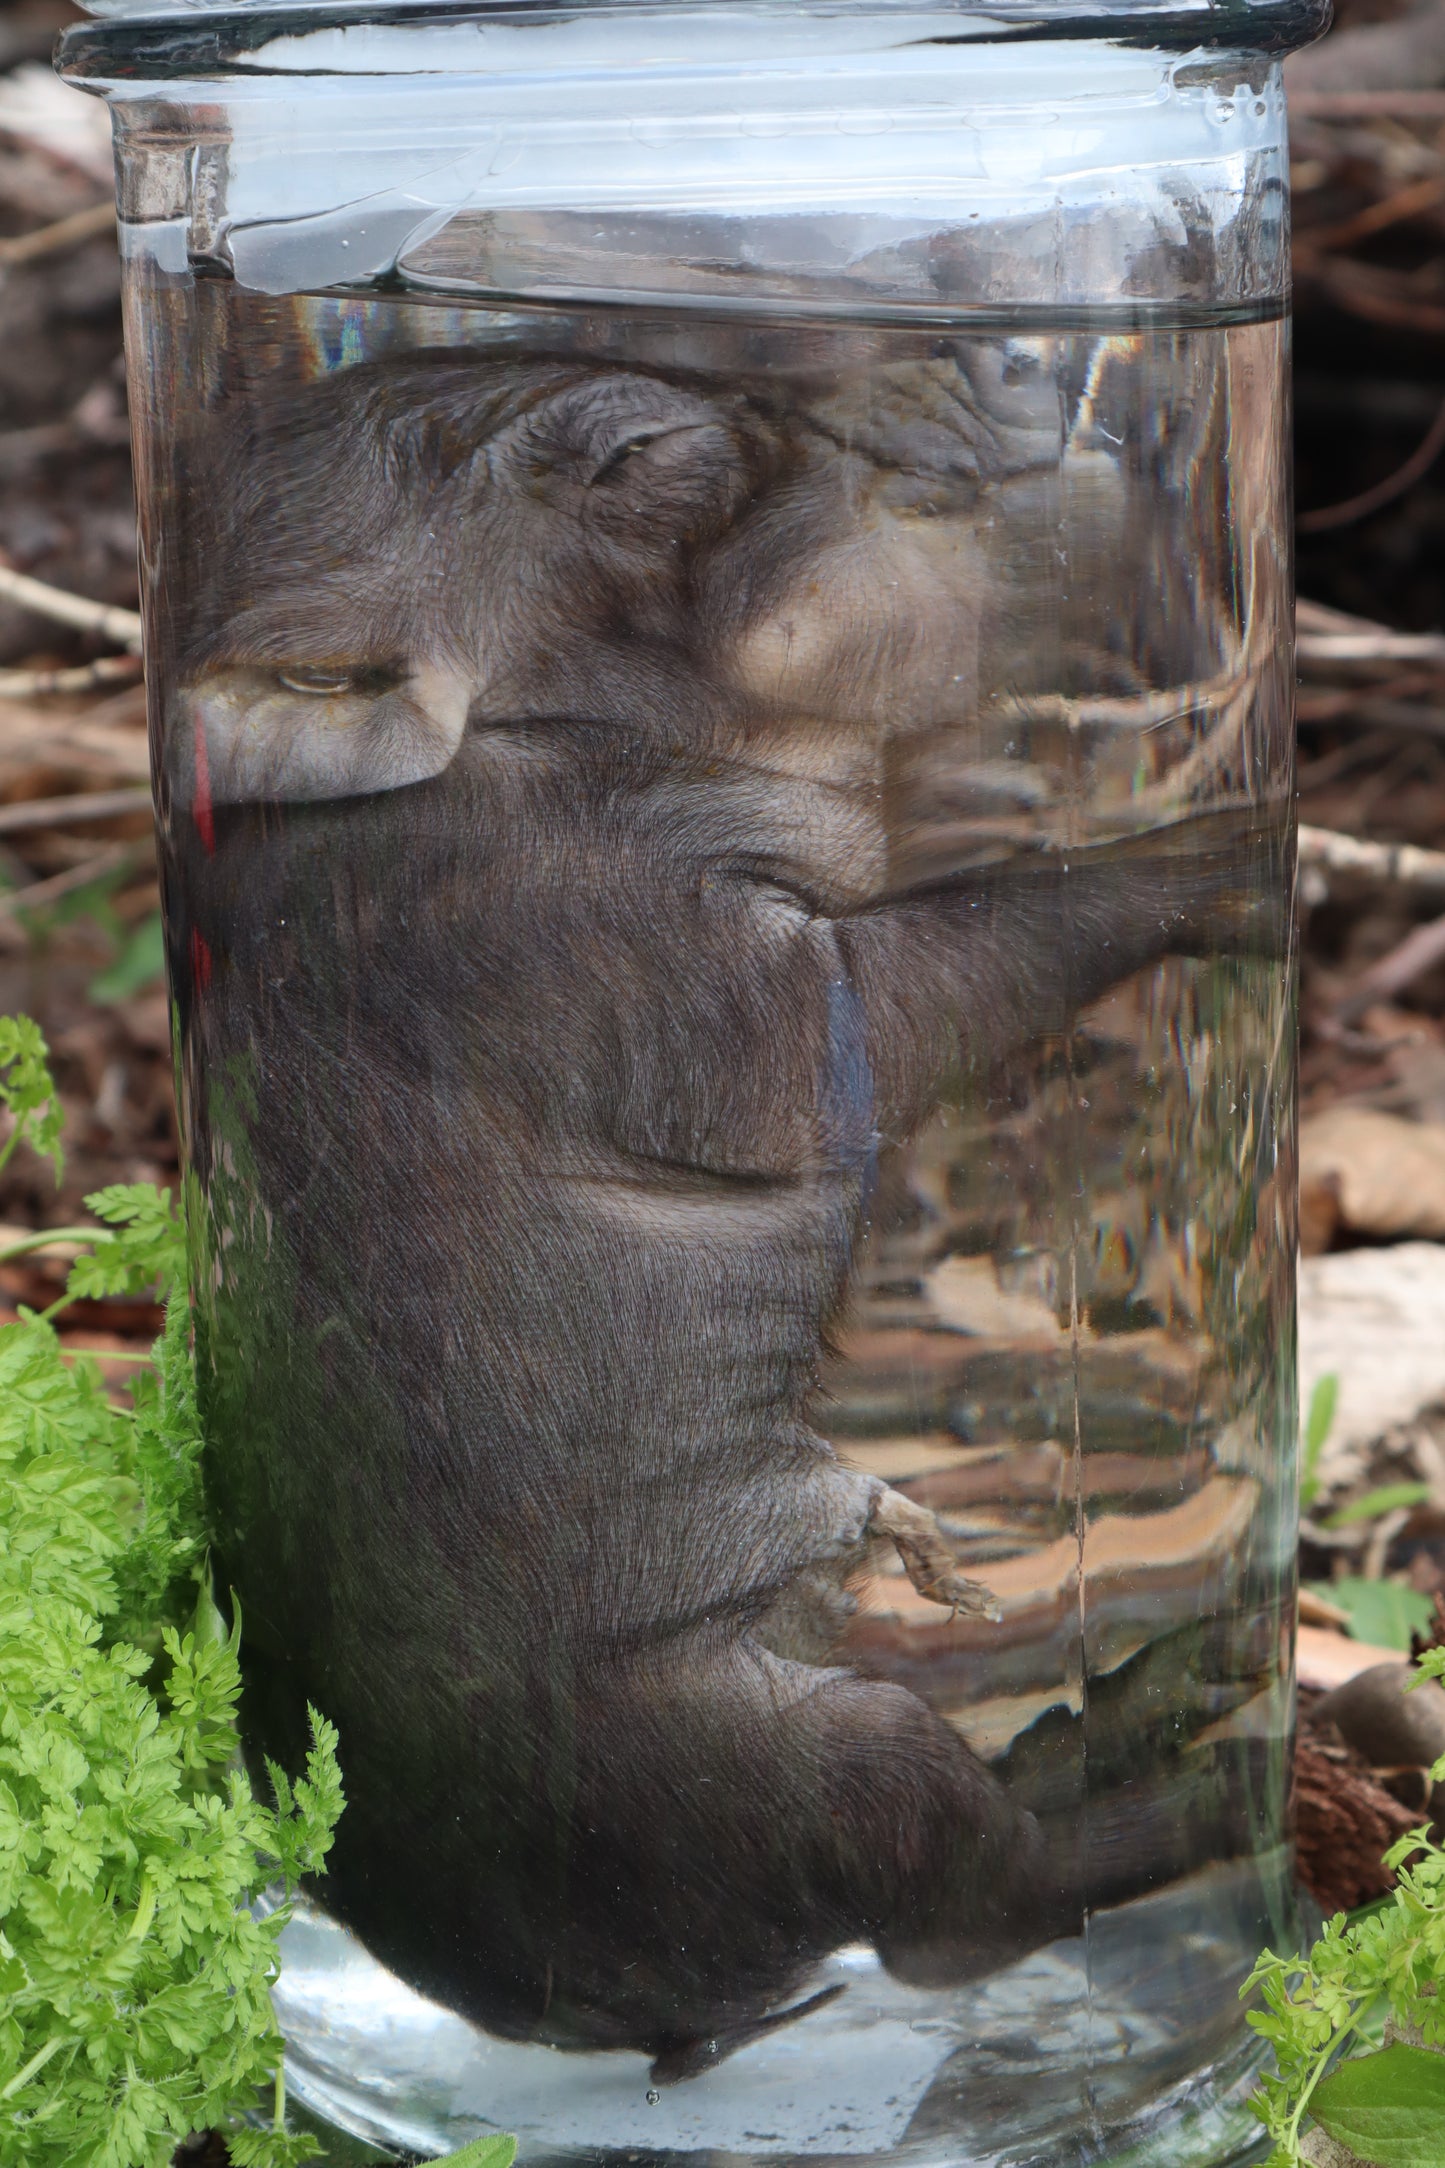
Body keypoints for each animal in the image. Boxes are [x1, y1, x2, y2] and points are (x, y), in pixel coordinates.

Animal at [161, 346, 1286, 2078]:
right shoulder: (698, 996)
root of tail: (636, 2021)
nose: (1031, 383)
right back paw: (1223, 1774)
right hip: (829, 1756)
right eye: (647, 459)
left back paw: (1180, 1675)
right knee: (974, 1907)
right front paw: (1248, 853)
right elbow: (967, 943)